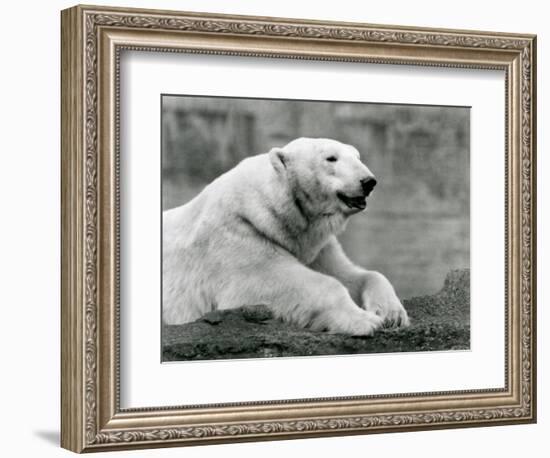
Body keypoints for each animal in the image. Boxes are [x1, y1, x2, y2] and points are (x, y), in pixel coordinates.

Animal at [164, 138, 410, 334]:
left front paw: (392, 314)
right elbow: (279, 279)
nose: (368, 181)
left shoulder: (315, 248)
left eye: (357, 156)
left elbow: (351, 274)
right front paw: (366, 321)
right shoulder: (238, 236)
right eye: (331, 158)